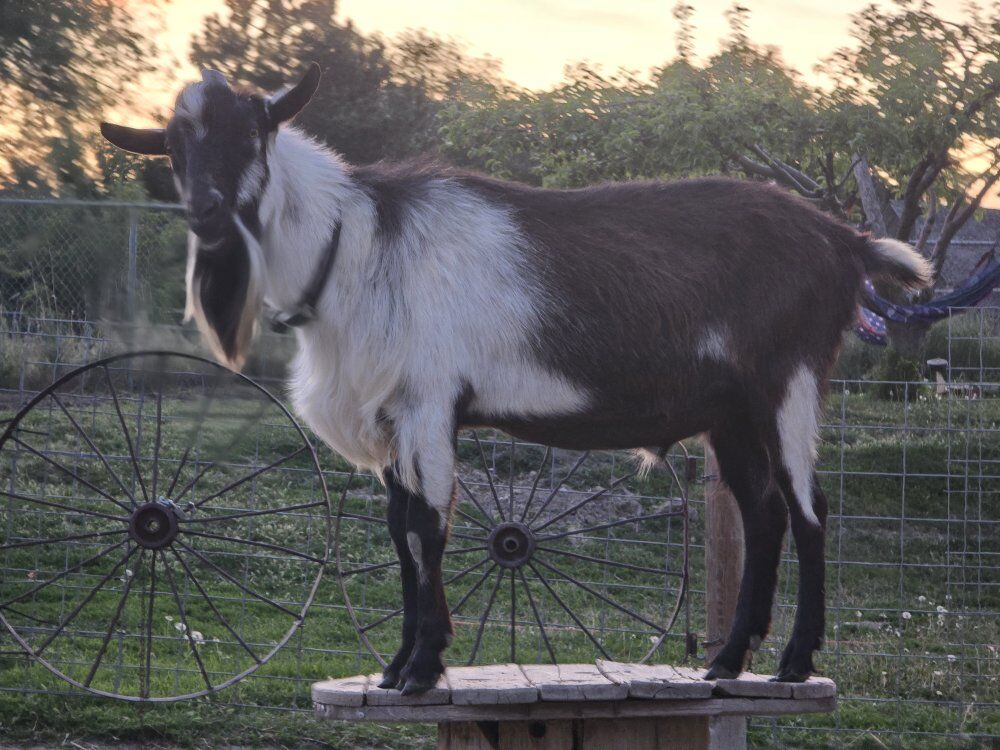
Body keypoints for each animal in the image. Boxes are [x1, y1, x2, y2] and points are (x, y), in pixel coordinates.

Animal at [102, 64, 931, 695]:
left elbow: (427, 528)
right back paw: (727, 660)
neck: (356, 245)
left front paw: (422, 667)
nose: (207, 211)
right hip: (729, 410)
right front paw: (399, 667)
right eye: (173, 146)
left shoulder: (428, 401)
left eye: (253, 133)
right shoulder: (392, 416)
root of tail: (842, 239)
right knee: (762, 514)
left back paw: (793, 663)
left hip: (788, 382)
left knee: (808, 509)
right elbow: (399, 533)